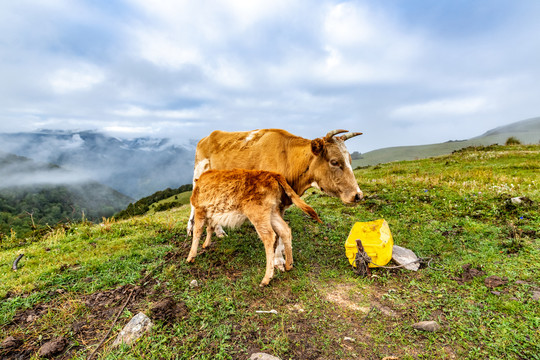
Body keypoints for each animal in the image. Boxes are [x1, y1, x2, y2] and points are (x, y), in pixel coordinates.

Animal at [186, 129, 362, 268]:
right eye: (334, 162)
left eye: (350, 160)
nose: (358, 195)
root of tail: (207, 136)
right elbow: (276, 234)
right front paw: (278, 261)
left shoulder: (281, 202)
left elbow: (282, 231)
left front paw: (282, 253)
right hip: (198, 176)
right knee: (194, 206)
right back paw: (195, 228)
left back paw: (218, 230)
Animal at [187, 169, 320, 286]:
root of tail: (272, 173)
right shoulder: (212, 214)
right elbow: (209, 228)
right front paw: (206, 244)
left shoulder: (200, 209)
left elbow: (197, 231)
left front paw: (191, 256)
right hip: (272, 212)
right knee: (285, 231)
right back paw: (288, 265)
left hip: (258, 214)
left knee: (269, 237)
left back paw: (266, 279)